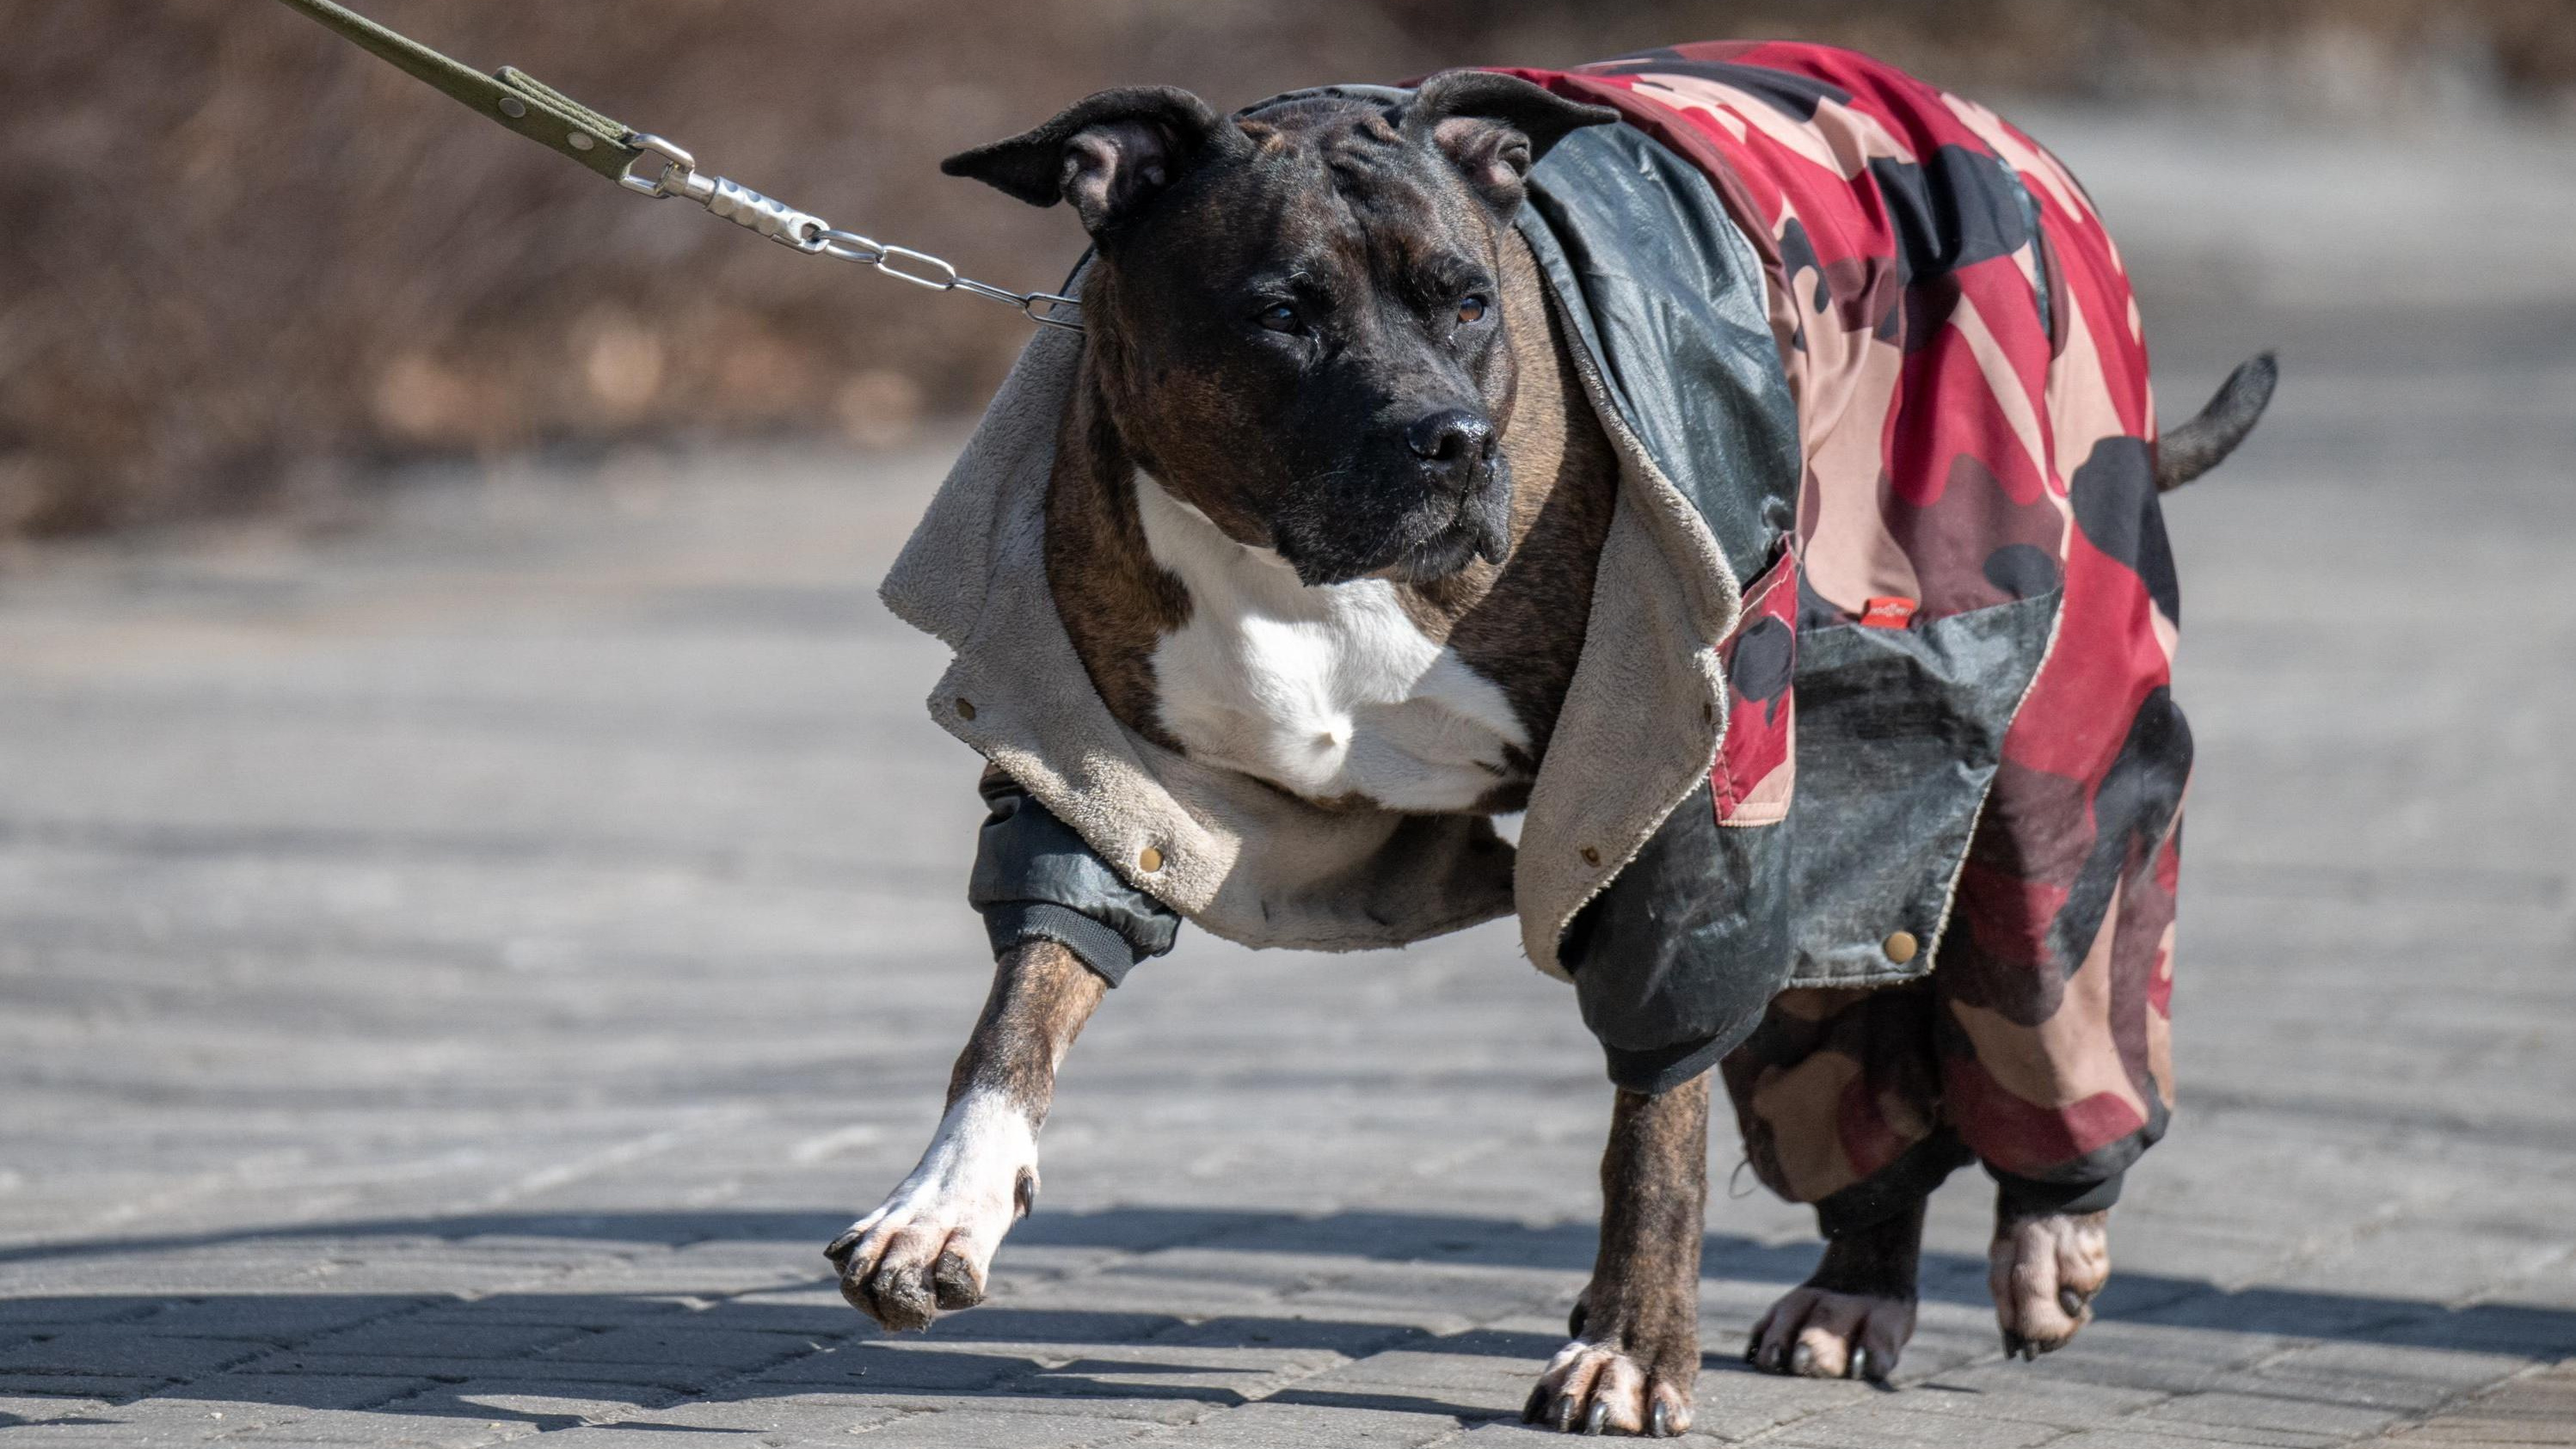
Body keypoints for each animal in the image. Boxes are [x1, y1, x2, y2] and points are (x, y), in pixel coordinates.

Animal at [824, 40, 2277, 1431]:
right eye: (1280, 314)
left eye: (1469, 301)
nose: (1450, 442)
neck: (1309, 577)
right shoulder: (1098, 766)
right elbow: (1026, 994)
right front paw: (944, 1200)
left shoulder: (1673, 789)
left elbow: (1657, 1117)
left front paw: (1628, 1346)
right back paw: (1856, 1282)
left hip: (2031, 701)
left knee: (2054, 942)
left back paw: (2050, 1223)